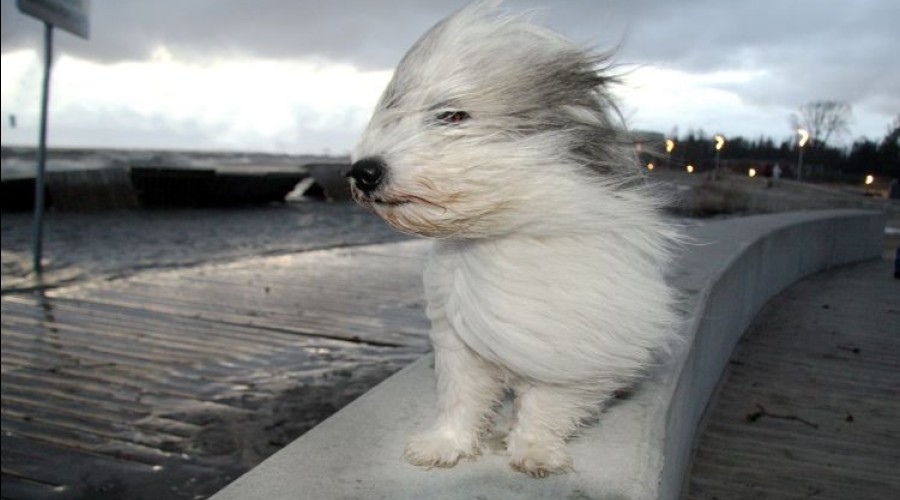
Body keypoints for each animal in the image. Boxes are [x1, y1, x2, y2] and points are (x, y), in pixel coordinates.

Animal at [348, 0, 680, 476]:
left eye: (452, 115)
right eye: (395, 111)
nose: (363, 171)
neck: (501, 229)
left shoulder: (567, 341)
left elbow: (548, 402)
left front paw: (535, 450)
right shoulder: (457, 337)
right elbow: (460, 397)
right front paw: (446, 444)